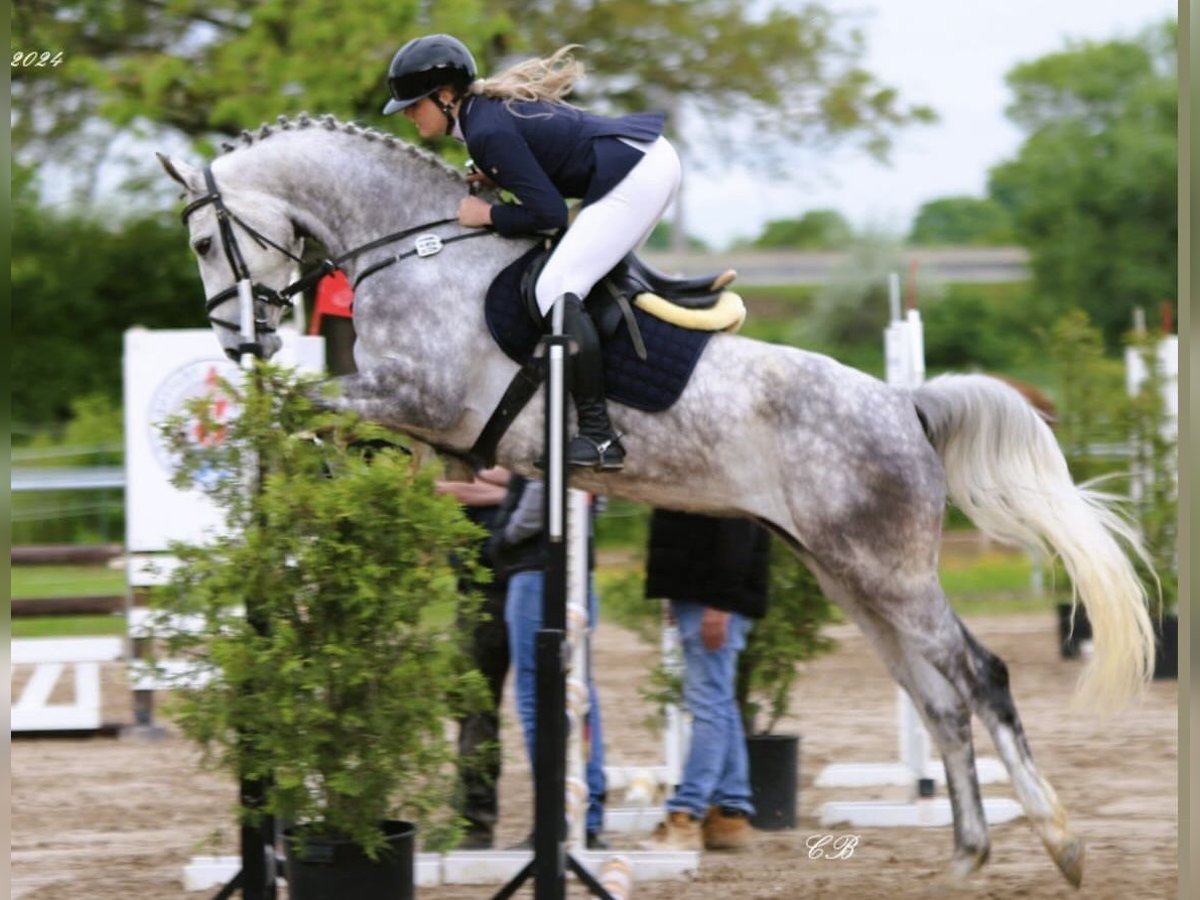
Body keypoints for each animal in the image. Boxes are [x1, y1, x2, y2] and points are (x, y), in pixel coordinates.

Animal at [159, 112, 1152, 888]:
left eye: (207, 242)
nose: (239, 340)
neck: (416, 248)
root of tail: (904, 404)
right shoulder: (419, 419)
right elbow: (323, 423)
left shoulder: (421, 397)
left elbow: (310, 405)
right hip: (851, 575)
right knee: (936, 695)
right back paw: (966, 856)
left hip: (889, 572)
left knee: (979, 676)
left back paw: (1059, 845)